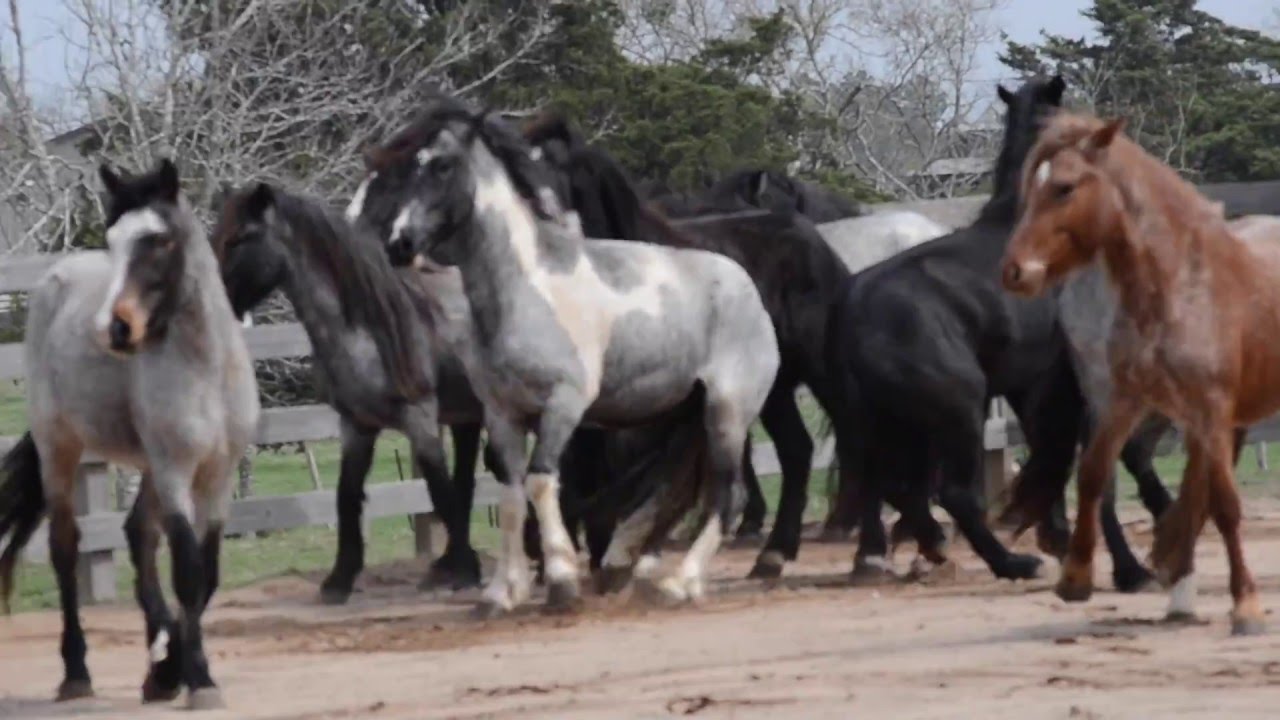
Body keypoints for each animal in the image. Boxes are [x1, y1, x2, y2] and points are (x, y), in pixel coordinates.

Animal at [0, 159, 259, 708]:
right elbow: (188, 571)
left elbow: (207, 573)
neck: (206, 369)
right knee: (65, 547)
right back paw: (75, 675)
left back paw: (155, 665)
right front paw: (198, 680)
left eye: (157, 240)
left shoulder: (217, 476)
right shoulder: (176, 471)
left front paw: (168, 672)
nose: (114, 330)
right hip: (61, 450)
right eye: (113, 240)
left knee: (138, 534)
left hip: (147, 468)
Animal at [211, 182, 492, 602]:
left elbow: (439, 491)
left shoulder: (421, 418)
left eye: (241, 237)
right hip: (467, 416)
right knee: (467, 482)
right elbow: (347, 496)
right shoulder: (356, 425)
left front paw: (466, 571)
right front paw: (339, 580)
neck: (369, 330)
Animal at [347, 93, 780, 614]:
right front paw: (501, 593)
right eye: (408, 166)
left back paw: (680, 583)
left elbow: (540, 480)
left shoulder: (563, 406)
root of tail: (748, 290)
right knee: (675, 486)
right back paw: (629, 566)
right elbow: (511, 494)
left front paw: (560, 581)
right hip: (682, 412)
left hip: (728, 411)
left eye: (441, 166)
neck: (526, 292)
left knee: (726, 495)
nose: (400, 244)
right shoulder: (503, 414)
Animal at [823, 75, 1158, 591]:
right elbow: (1095, 473)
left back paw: (930, 549)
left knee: (899, 487)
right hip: (960, 407)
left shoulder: (1036, 390)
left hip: (893, 421)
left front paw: (1056, 536)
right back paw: (1009, 563)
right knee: (952, 493)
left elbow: (1051, 462)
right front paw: (1129, 569)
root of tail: (852, 305)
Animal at [1000, 111, 1280, 636]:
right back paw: (1178, 590)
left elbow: (1227, 506)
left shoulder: (1209, 410)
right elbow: (1093, 473)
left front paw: (1247, 608)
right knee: (1192, 488)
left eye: (1065, 187)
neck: (1181, 285)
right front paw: (1076, 578)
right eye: (1029, 189)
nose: (1015, 272)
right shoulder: (1125, 401)